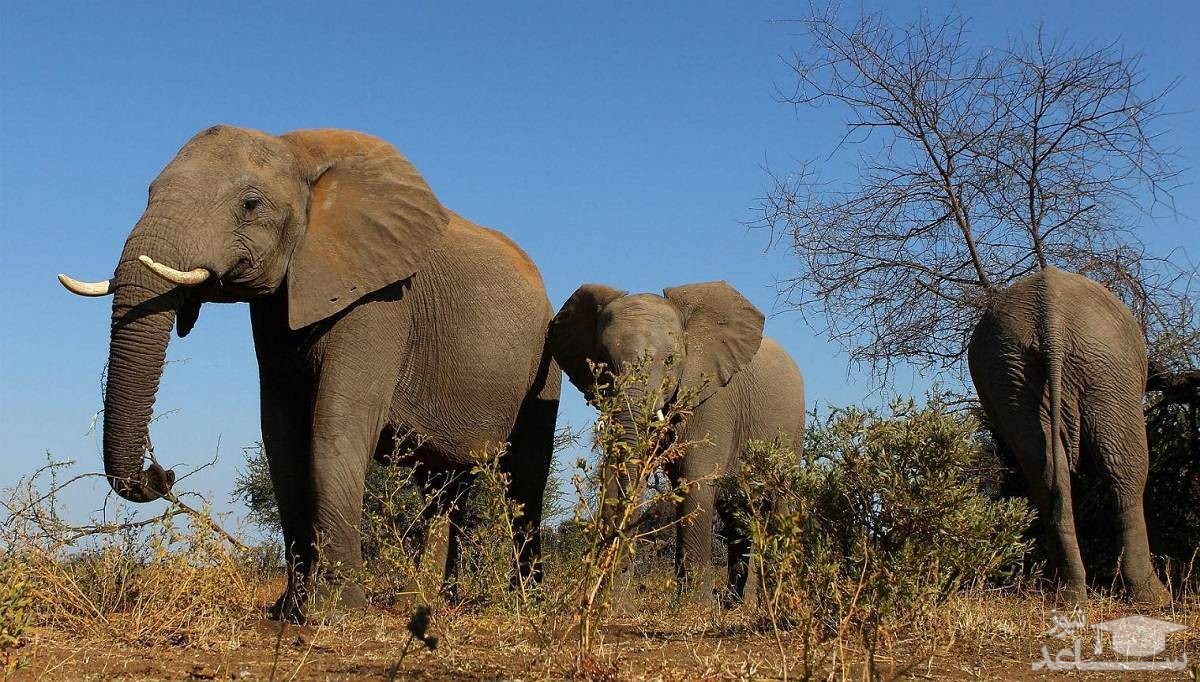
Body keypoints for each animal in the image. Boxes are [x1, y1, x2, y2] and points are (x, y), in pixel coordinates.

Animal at [55, 126, 556, 624]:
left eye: (250, 204)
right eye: (148, 193)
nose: (163, 474)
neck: (298, 153)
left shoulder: (380, 300)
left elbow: (334, 427)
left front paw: (339, 614)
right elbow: (281, 436)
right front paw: (288, 611)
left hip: (543, 364)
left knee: (524, 479)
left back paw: (521, 605)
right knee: (444, 486)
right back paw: (426, 605)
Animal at [549, 280, 806, 602]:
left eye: (670, 361)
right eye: (603, 359)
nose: (613, 592)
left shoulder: (713, 402)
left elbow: (693, 482)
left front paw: (693, 606)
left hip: (792, 432)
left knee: (777, 503)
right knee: (735, 514)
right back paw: (736, 605)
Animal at [964, 264, 1171, 605]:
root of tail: (1051, 317)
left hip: (1009, 370)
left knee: (1045, 466)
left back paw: (1069, 594)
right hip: (1107, 365)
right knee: (1126, 468)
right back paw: (1154, 598)